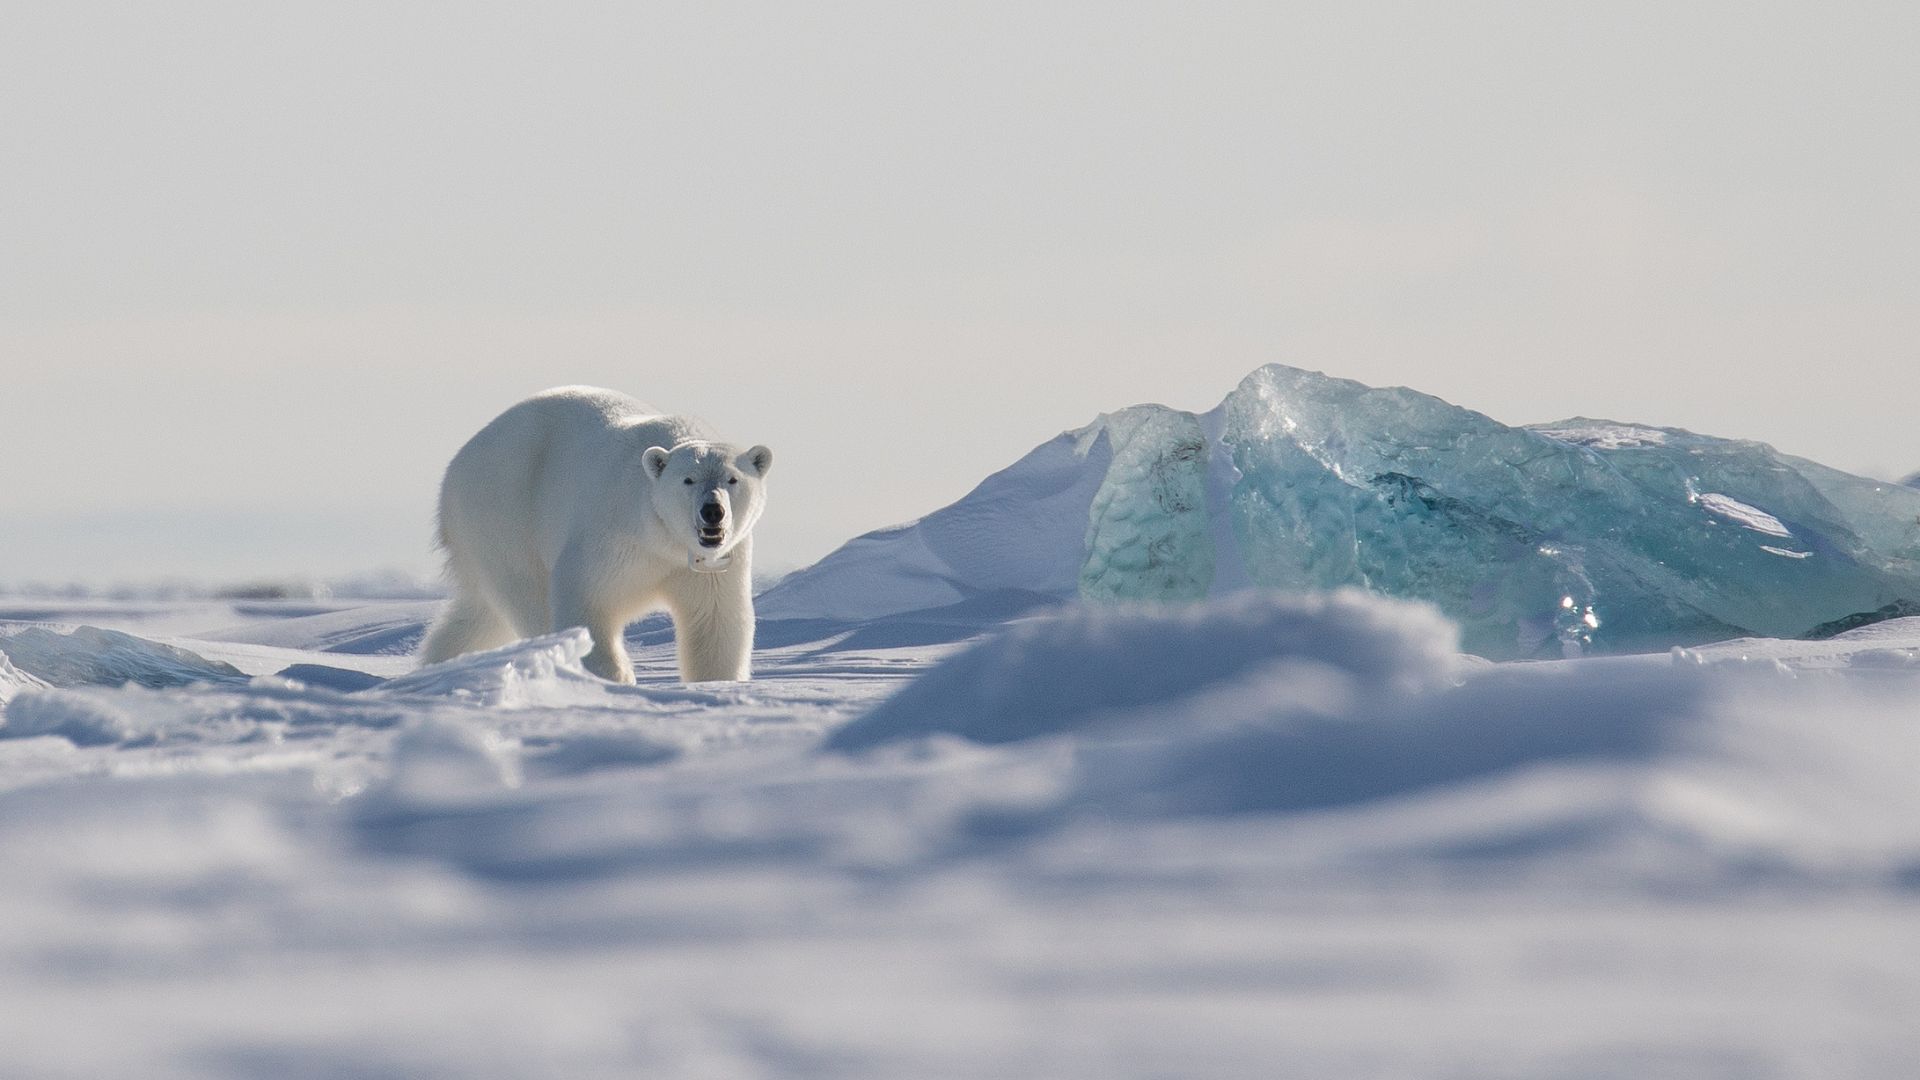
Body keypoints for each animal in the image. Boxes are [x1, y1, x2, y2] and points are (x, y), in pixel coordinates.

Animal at [420, 386, 771, 680]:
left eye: (732, 479)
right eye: (688, 479)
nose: (712, 511)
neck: (663, 538)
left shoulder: (713, 564)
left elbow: (714, 623)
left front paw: (717, 682)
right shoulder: (613, 535)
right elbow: (585, 599)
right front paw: (615, 676)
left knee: (479, 615)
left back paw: (439, 662)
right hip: (504, 514)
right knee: (528, 595)